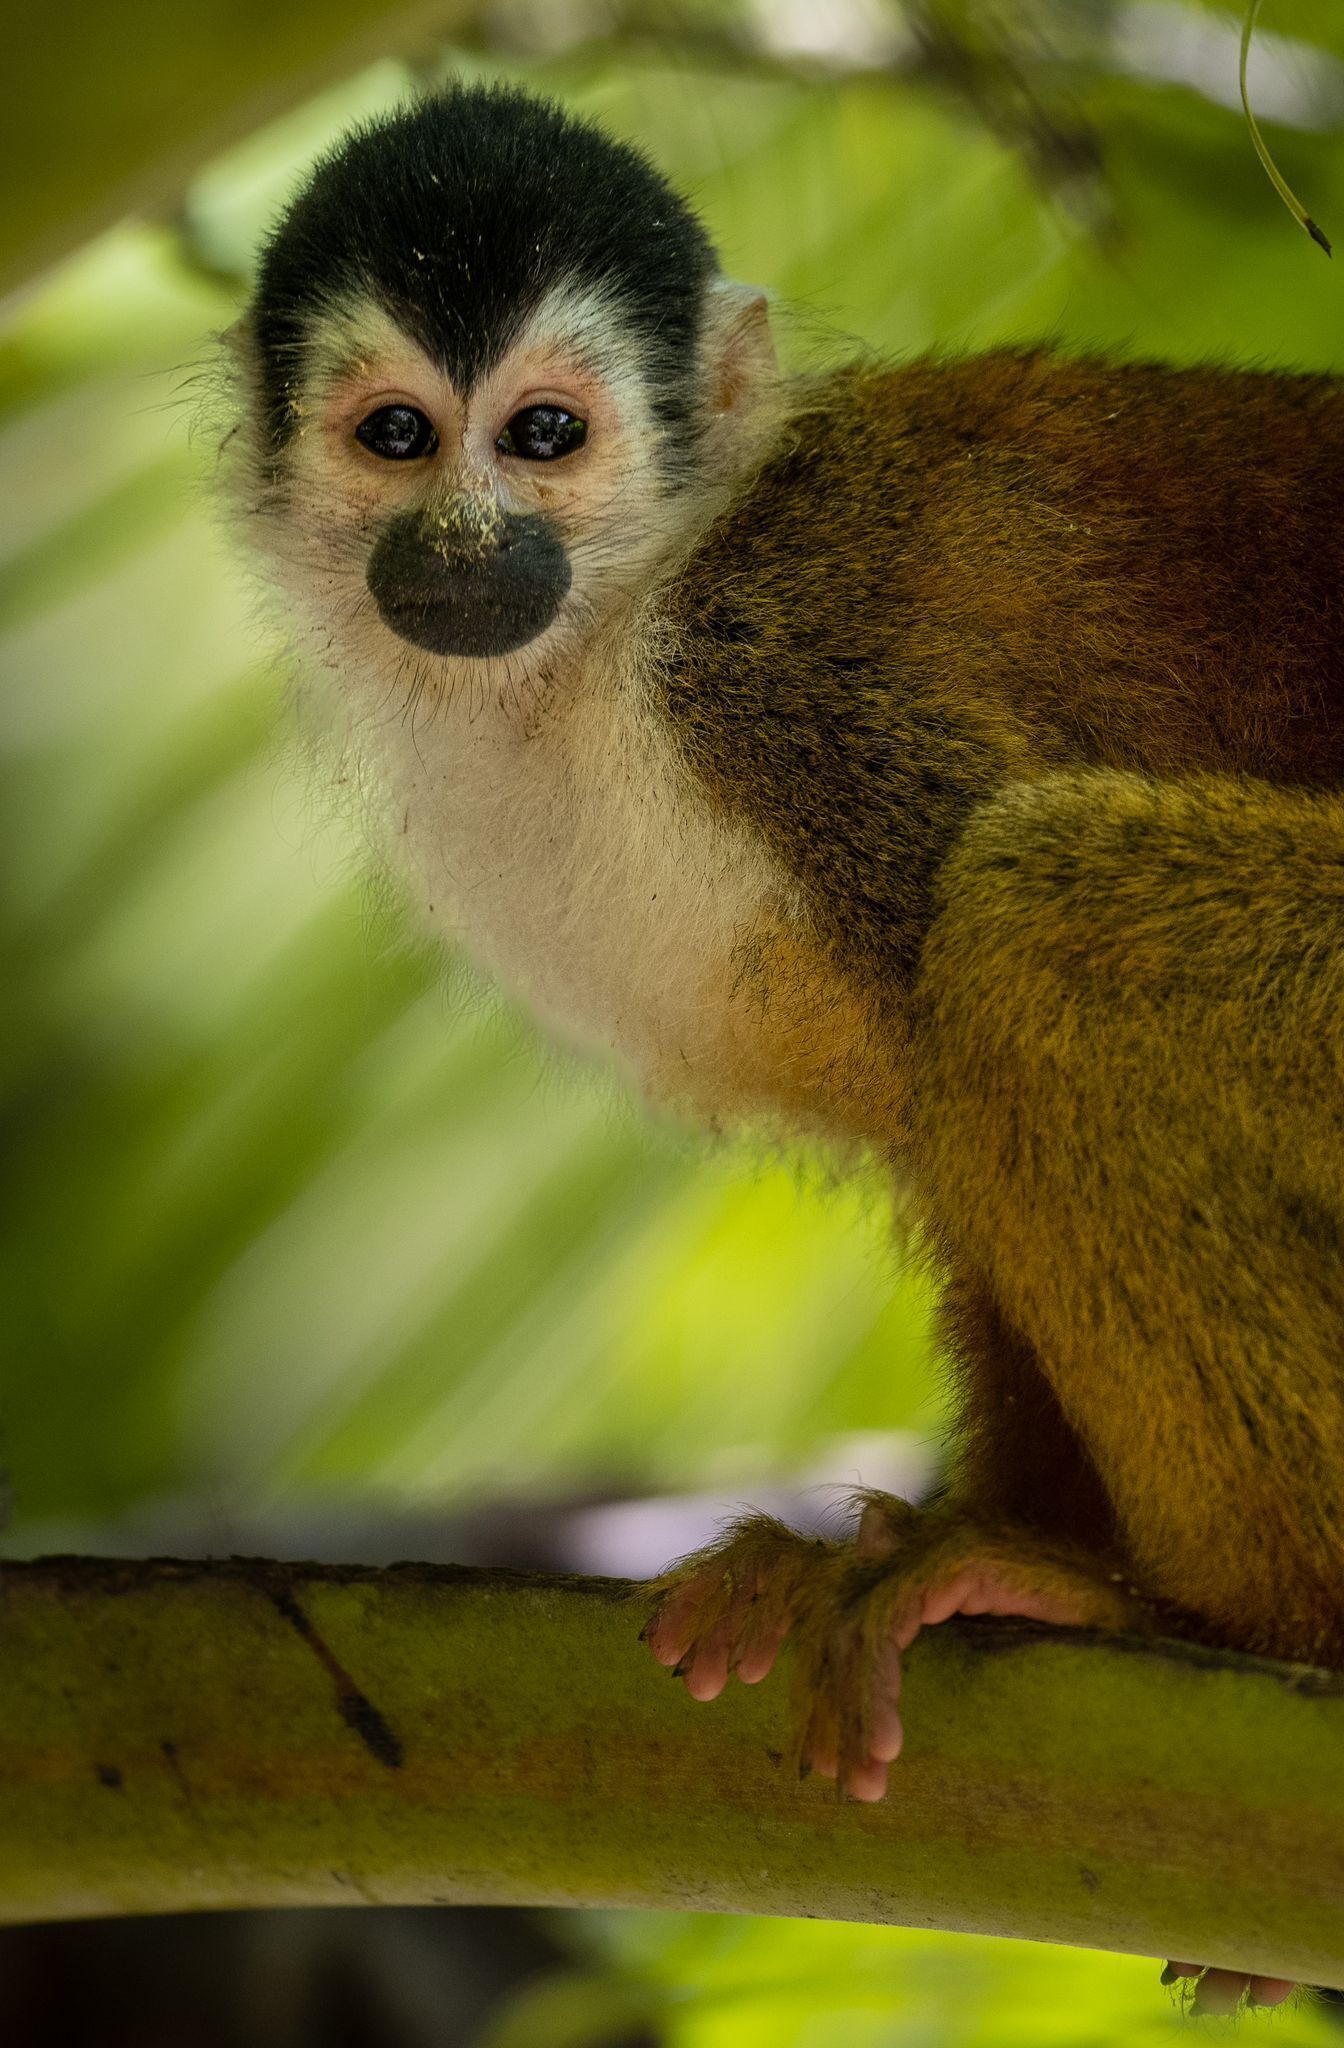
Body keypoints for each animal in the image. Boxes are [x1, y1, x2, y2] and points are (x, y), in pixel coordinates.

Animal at [227, 83, 1344, 2013]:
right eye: (396, 437)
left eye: (541, 436)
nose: (463, 550)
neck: (612, 634)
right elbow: (942, 1138)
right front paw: (945, 1530)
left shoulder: (781, 680)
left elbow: (943, 948)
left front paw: (1030, 1556)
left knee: (1027, 914)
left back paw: (1248, 1620)